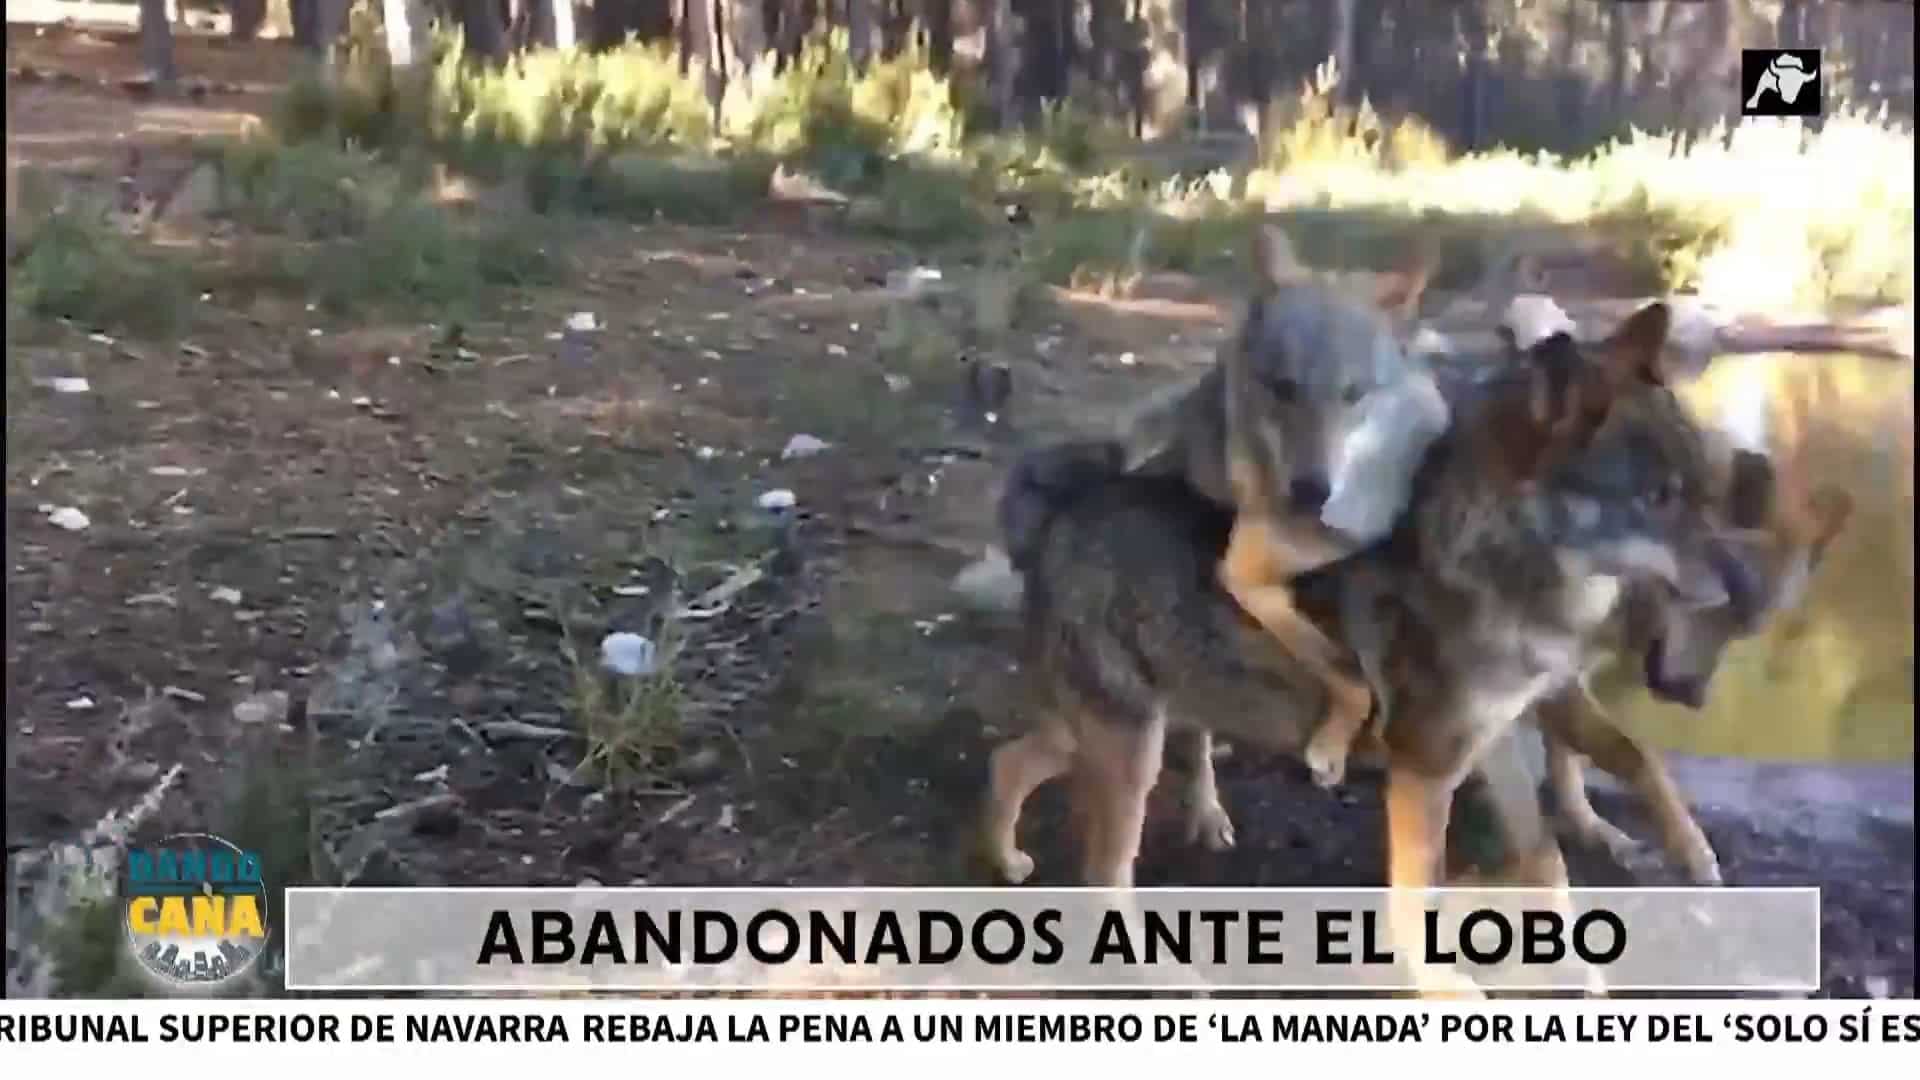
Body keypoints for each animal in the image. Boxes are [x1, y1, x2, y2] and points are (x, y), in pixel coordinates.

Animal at [980, 303, 1745, 996]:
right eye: (1660, 497)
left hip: (1111, 732)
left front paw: (1593, 954)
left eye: (1708, 489)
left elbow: (1555, 851)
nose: (1743, 585)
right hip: (1128, 747)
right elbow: (1418, 897)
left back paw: (1005, 858)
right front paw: (1436, 985)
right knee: (1102, 876)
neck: (1501, 569)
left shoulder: (1497, 742)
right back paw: (1170, 977)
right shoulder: (1427, 768)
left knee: (1009, 761)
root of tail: (1064, 510)